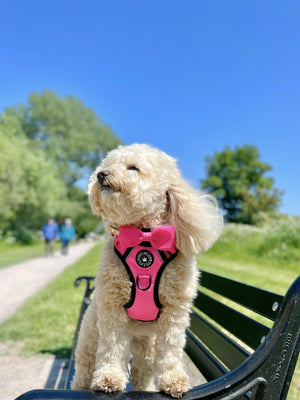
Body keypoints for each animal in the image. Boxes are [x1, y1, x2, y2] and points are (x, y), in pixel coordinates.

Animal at [72, 143, 223, 396]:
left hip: (147, 350)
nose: (101, 174)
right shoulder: (112, 307)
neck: (145, 238)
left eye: (133, 168)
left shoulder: (174, 311)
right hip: (90, 337)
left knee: (142, 372)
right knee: (84, 368)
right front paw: (109, 377)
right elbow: (112, 347)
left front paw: (173, 380)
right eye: (107, 164)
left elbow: (171, 349)